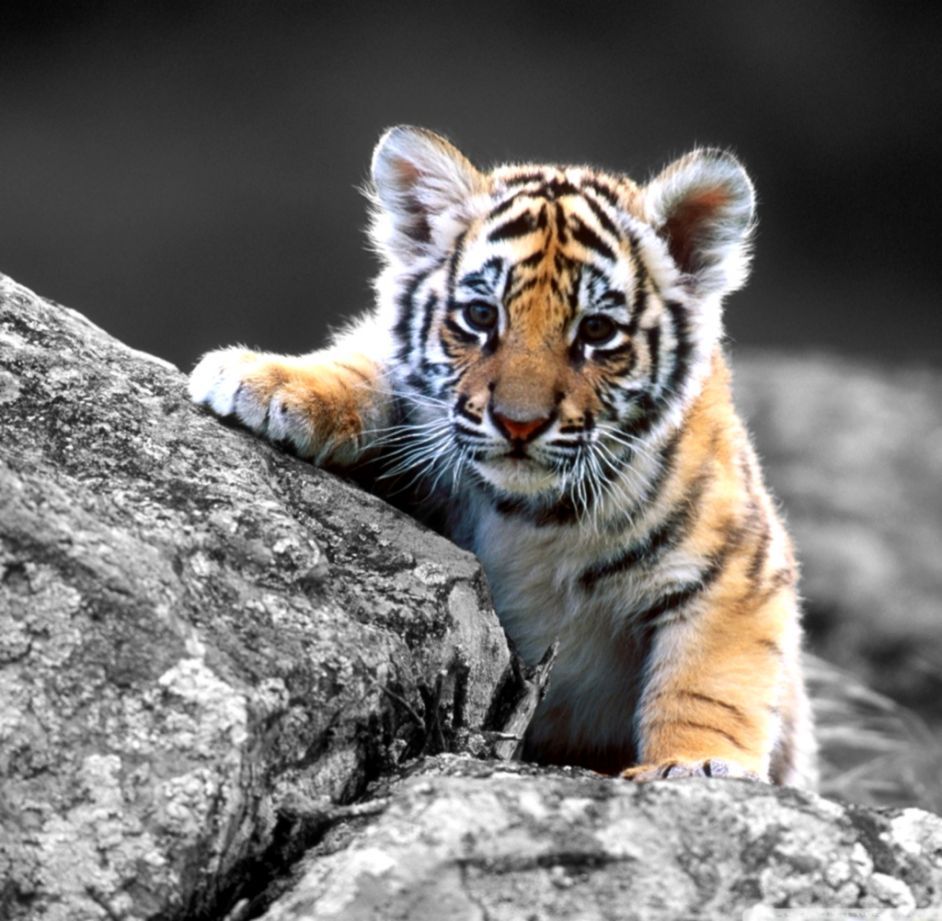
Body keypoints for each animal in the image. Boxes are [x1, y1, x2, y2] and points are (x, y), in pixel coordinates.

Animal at [190, 124, 820, 784]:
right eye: (480, 315)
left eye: (597, 331)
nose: (520, 423)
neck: (534, 516)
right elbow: (368, 365)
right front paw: (265, 380)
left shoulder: (739, 569)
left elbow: (709, 684)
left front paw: (694, 766)